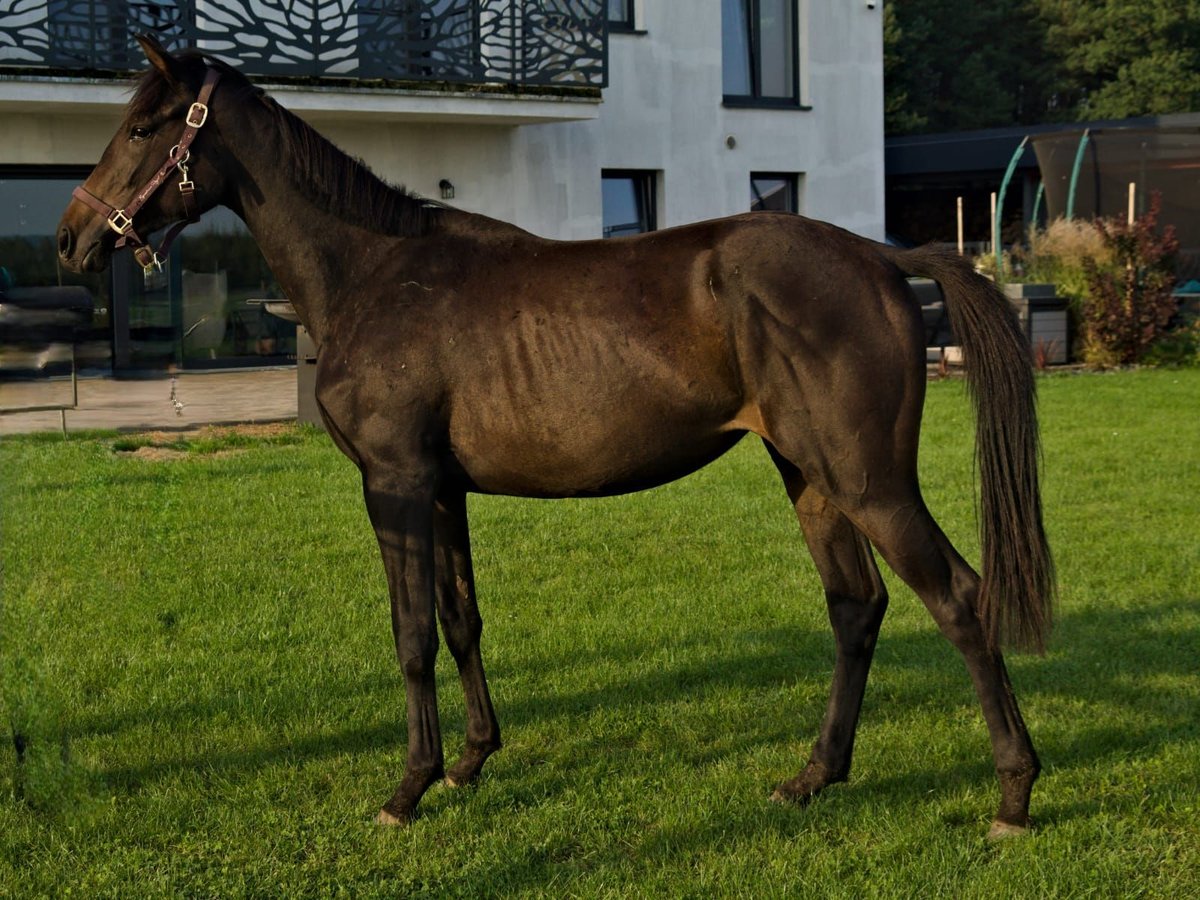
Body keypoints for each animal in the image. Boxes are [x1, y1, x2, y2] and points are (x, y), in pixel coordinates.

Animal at [56, 35, 1051, 840]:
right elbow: (461, 620)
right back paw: (812, 778)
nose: (69, 238)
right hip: (808, 474)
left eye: (142, 128)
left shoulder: (395, 485)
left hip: (868, 480)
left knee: (959, 598)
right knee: (856, 607)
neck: (374, 273)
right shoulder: (441, 490)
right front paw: (469, 763)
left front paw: (407, 789)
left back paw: (1012, 796)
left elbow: (411, 633)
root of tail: (882, 257)